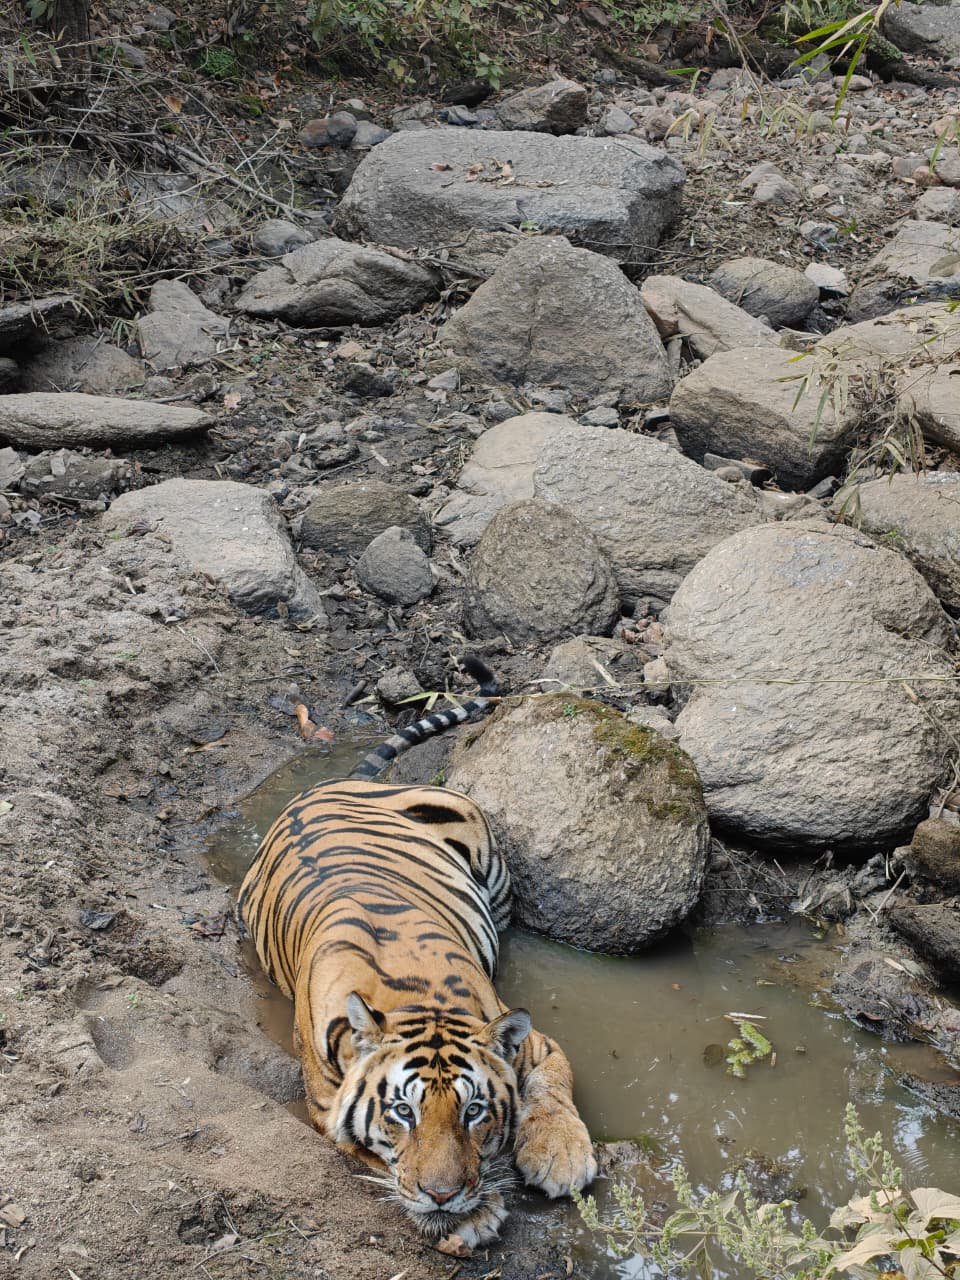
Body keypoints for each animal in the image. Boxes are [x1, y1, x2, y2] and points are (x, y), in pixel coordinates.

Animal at [237, 657, 597, 1251]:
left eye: (473, 1111)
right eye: (403, 1111)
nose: (444, 1194)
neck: (417, 996)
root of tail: (335, 783)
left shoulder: (536, 1043)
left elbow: (552, 1086)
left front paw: (560, 1153)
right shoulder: (326, 1110)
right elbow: (381, 1162)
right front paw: (472, 1216)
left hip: (477, 837)